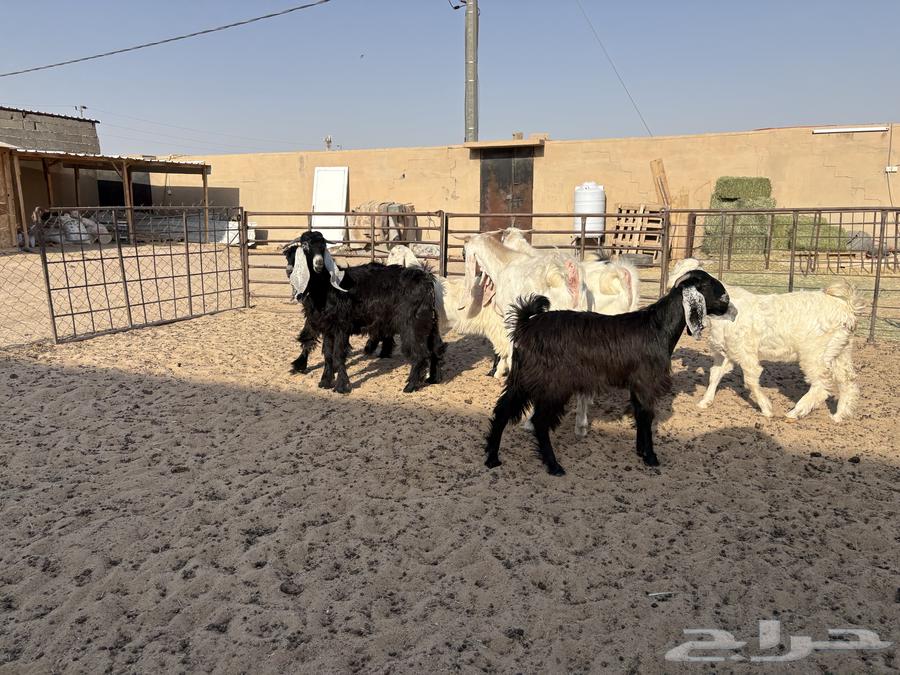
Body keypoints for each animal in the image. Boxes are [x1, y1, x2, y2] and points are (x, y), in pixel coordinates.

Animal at [283, 231, 444, 394]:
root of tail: (426, 280)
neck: (327, 287)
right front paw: (325, 381)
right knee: (436, 349)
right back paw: (433, 378)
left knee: (419, 354)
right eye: (304, 245)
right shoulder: (327, 327)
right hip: (428, 322)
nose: (319, 264)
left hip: (412, 324)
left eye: (323, 246)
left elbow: (338, 355)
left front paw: (342, 386)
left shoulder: (341, 326)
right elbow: (327, 355)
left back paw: (410, 385)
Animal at [483, 269, 737, 475]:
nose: (731, 310)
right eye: (719, 292)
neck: (658, 328)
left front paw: (640, 451)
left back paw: (492, 458)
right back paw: (554, 466)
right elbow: (647, 417)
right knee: (539, 421)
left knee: (503, 411)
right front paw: (651, 457)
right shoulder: (647, 384)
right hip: (553, 384)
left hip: (523, 379)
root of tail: (525, 325)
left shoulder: (637, 387)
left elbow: (640, 416)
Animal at [670, 258, 863, 422]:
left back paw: (795, 412)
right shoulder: (727, 352)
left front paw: (767, 409)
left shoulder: (745, 353)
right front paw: (705, 401)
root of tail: (846, 308)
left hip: (814, 354)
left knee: (822, 386)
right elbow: (715, 375)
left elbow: (751, 379)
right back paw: (838, 415)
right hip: (840, 351)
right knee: (847, 381)